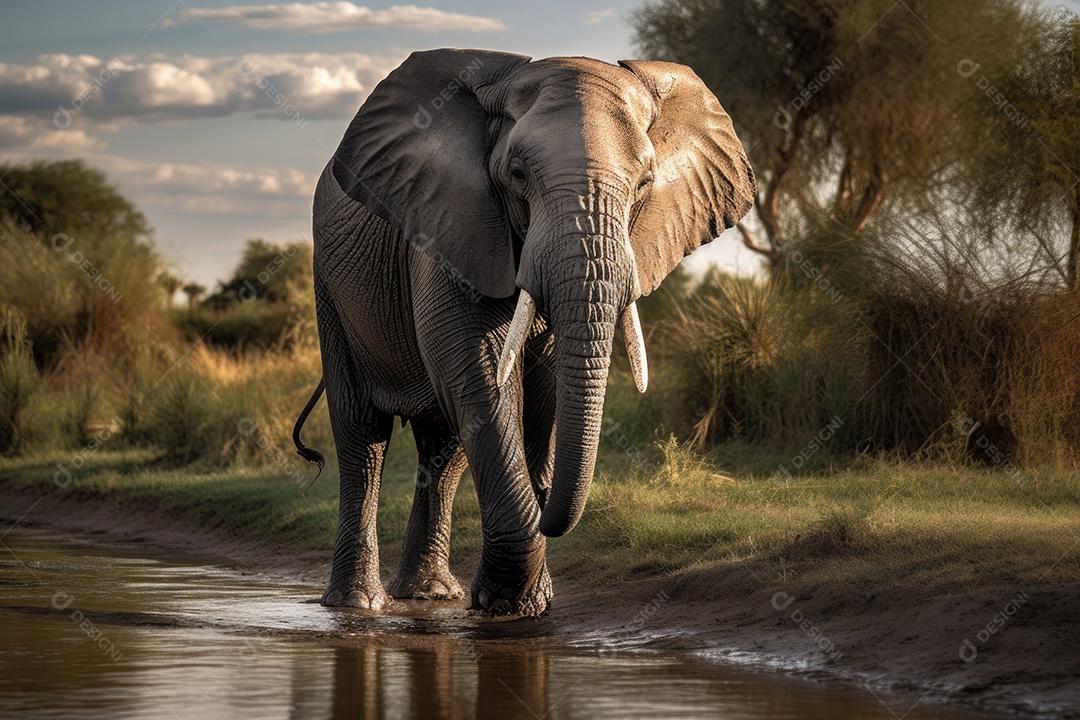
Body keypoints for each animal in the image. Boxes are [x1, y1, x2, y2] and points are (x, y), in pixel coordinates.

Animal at [292, 48, 755, 617]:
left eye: (646, 182)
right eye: (515, 174)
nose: (547, 504)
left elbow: (546, 388)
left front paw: (525, 604)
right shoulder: (449, 223)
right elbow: (480, 372)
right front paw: (508, 605)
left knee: (444, 446)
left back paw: (430, 593)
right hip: (330, 287)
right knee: (363, 435)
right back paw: (357, 604)